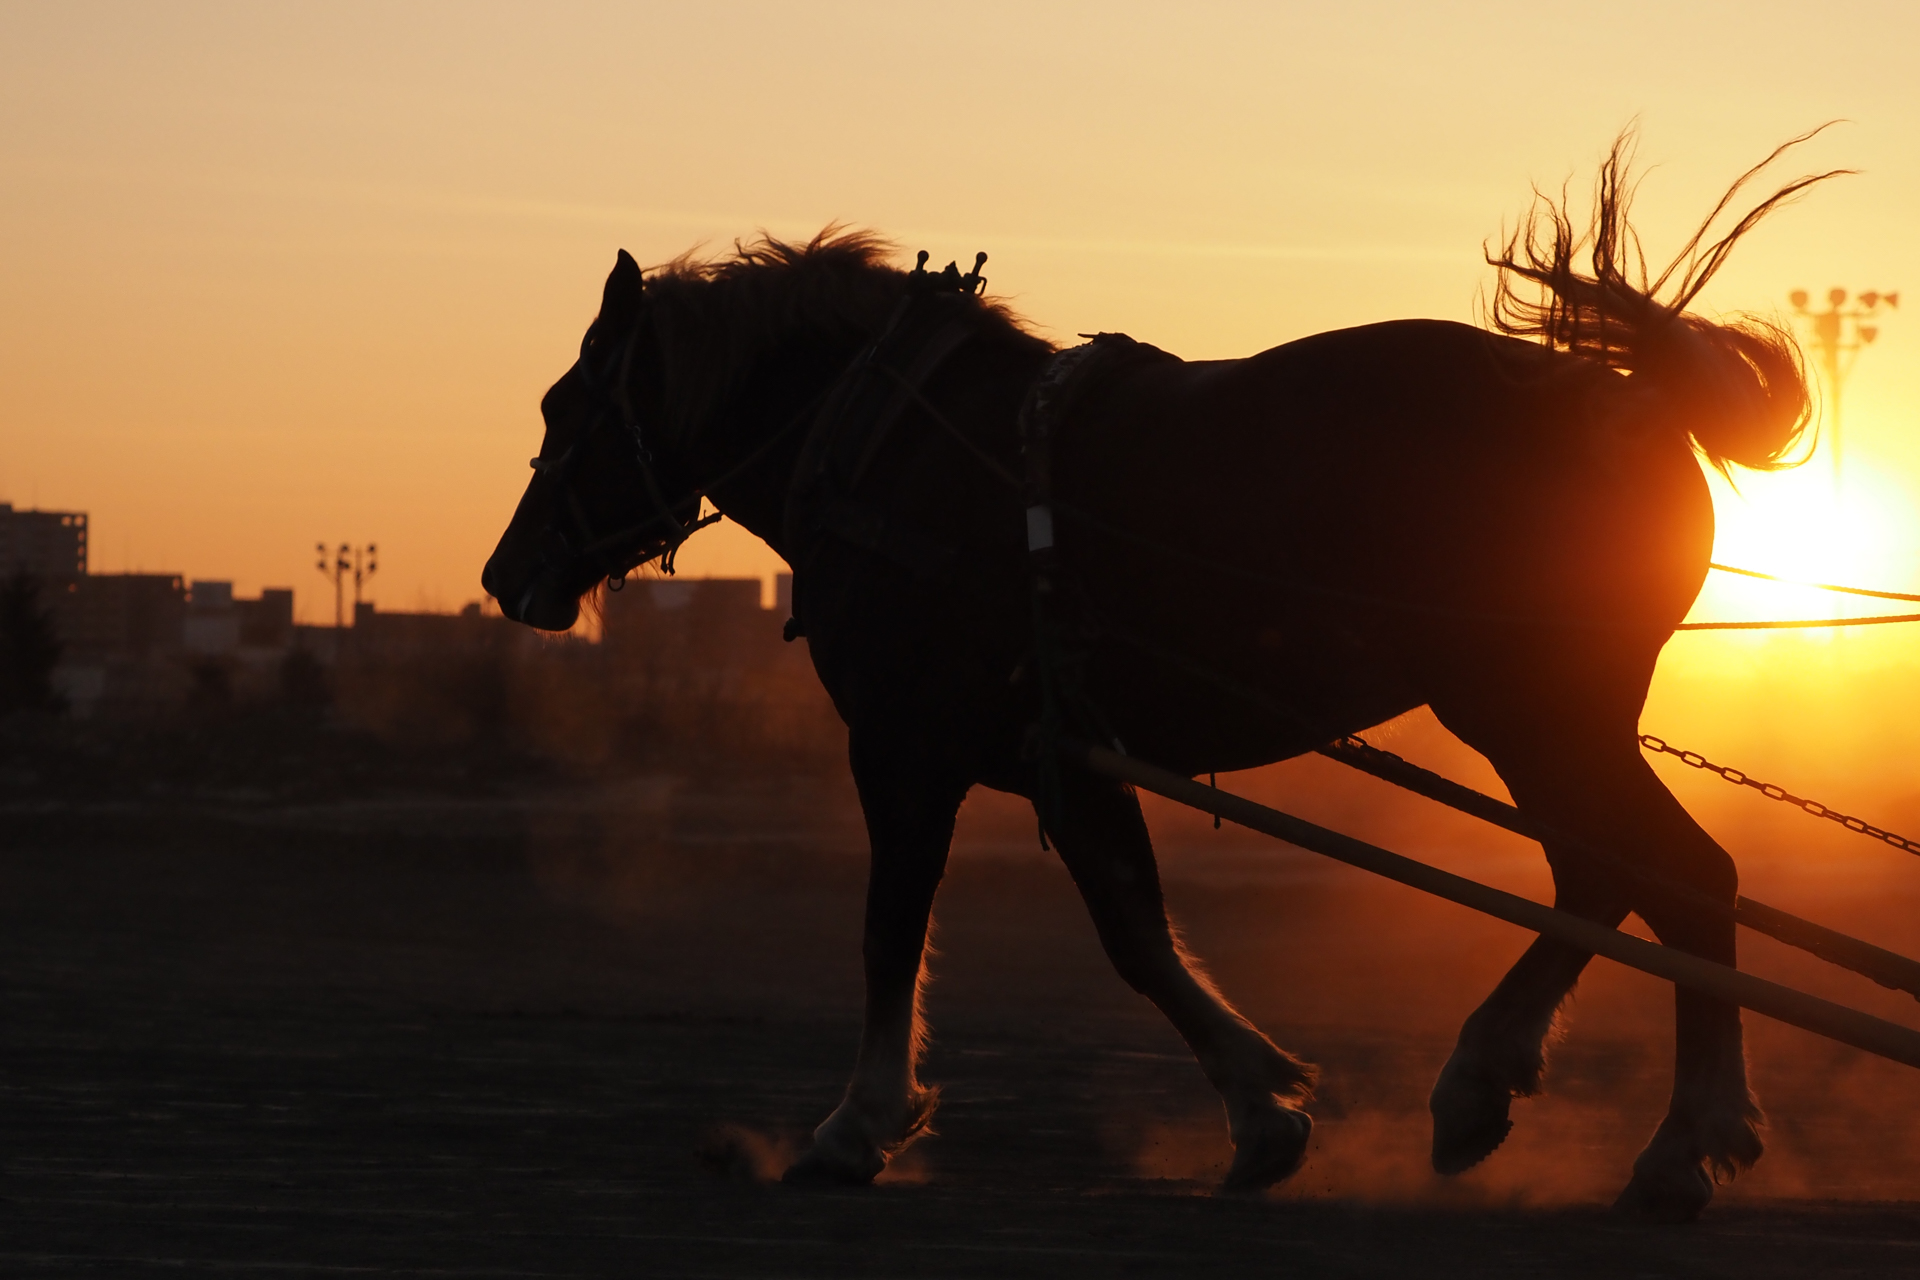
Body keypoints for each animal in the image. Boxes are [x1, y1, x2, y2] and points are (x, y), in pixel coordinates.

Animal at [476, 138, 1827, 1220]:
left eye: (565, 402)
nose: (504, 573)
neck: (900, 448)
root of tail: (1630, 398)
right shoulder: (1058, 753)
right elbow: (1133, 927)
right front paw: (1264, 1108)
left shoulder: (907, 744)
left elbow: (894, 926)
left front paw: (857, 1124)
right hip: (1549, 714)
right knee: (1618, 875)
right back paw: (1503, 1086)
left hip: (1529, 705)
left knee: (1674, 874)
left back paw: (1671, 1140)